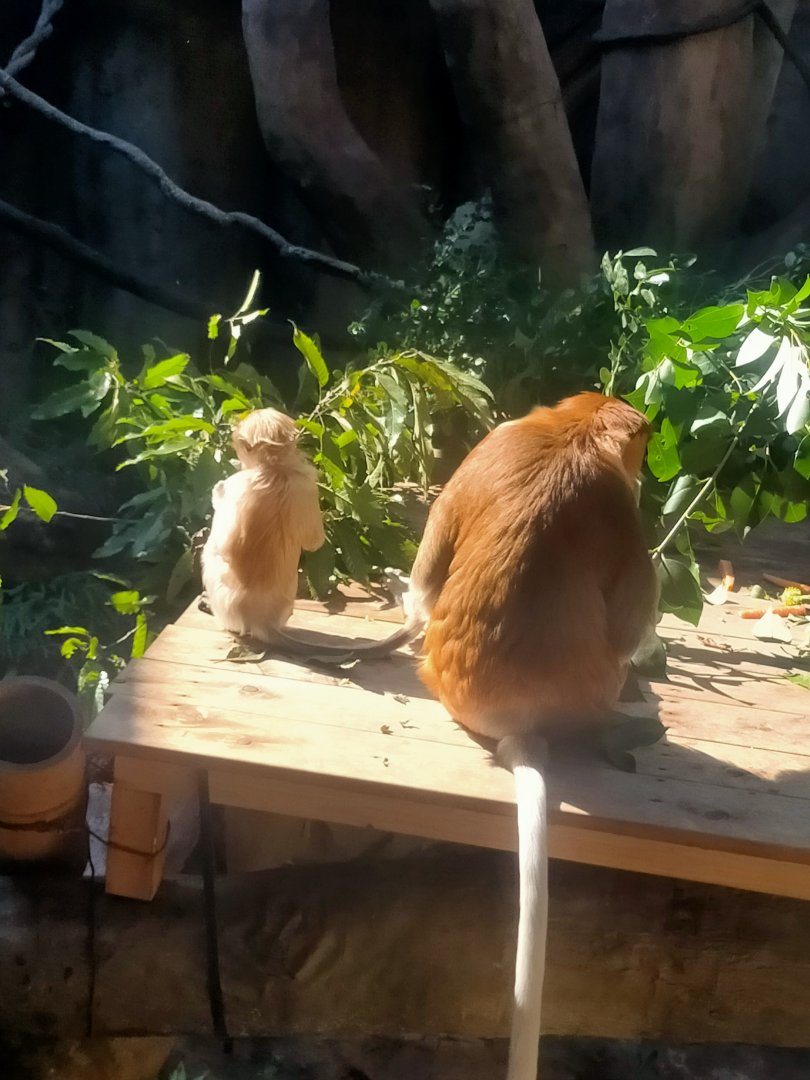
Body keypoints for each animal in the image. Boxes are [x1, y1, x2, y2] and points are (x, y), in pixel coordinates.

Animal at [201, 407, 325, 641]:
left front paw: (217, 491)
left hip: (223, 601)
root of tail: (260, 620)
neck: (275, 468)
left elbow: (224, 547)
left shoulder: (237, 481)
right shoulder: (307, 483)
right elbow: (315, 542)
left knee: (210, 554)